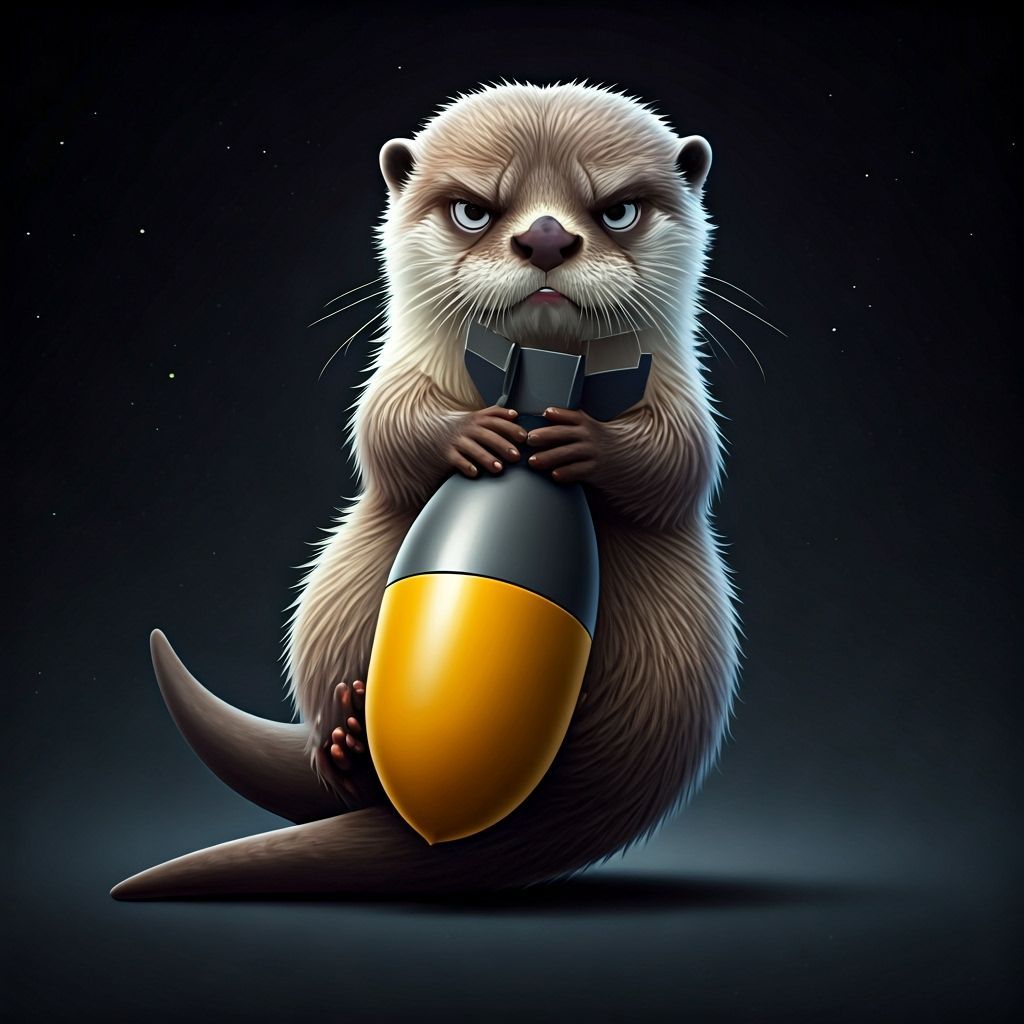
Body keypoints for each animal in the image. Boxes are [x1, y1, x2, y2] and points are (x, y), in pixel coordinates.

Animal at [111, 81, 740, 899]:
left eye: (618, 209)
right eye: (473, 209)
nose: (545, 238)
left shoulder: (682, 396)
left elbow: (679, 461)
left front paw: (581, 441)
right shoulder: (393, 375)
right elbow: (385, 431)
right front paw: (474, 437)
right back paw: (348, 737)